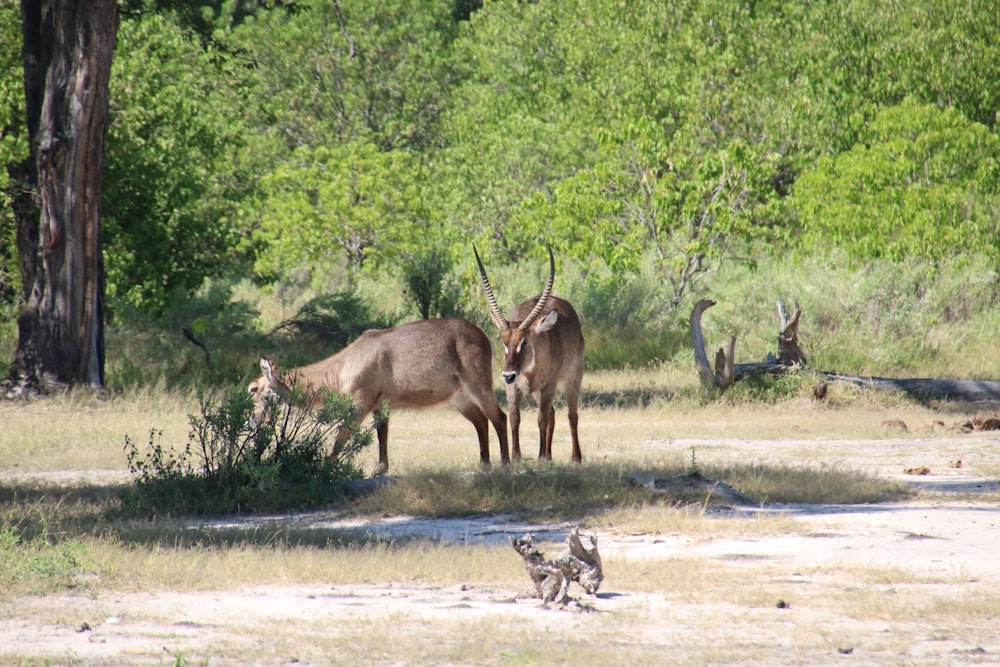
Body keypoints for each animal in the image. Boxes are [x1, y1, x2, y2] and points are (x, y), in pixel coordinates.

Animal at [243, 318, 508, 474]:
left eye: (253, 388)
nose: (250, 420)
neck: (342, 369)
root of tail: (484, 335)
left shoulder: (360, 402)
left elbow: (342, 435)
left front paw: (325, 468)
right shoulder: (381, 404)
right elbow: (382, 434)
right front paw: (381, 469)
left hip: (478, 383)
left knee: (499, 417)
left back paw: (507, 462)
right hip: (460, 398)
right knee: (481, 421)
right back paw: (484, 464)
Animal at [470, 247, 584, 464]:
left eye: (524, 342)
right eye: (503, 341)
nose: (508, 375)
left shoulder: (548, 386)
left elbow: (541, 419)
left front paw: (539, 457)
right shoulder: (513, 387)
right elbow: (515, 417)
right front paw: (516, 456)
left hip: (572, 378)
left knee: (571, 416)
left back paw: (575, 458)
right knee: (553, 414)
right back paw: (549, 455)